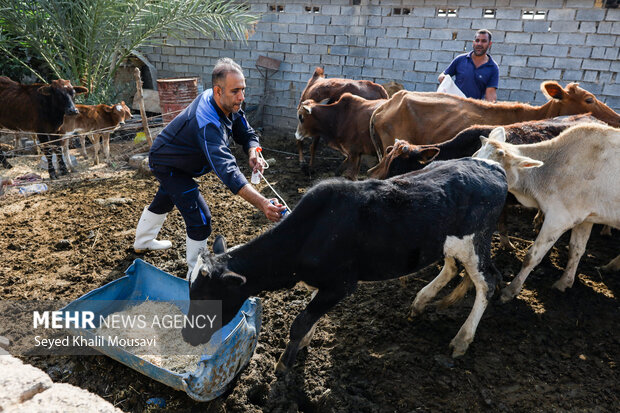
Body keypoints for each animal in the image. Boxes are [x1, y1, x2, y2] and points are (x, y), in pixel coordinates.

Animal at [180, 157, 508, 370]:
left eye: (207, 296)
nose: (186, 335)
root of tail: (492, 167)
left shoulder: (342, 285)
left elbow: (300, 321)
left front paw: (284, 365)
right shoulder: (324, 284)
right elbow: (309, 314)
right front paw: (303, 345)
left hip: (476, 242)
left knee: (488, 282)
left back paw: (462, 338)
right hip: (447, 242)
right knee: (452, 267)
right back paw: (421, 301)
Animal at [474, 124, 620, 300]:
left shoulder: (559, 218)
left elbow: (532, 256)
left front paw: (510, 290)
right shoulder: (585, 218)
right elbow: (576, 250)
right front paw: (564, 282)